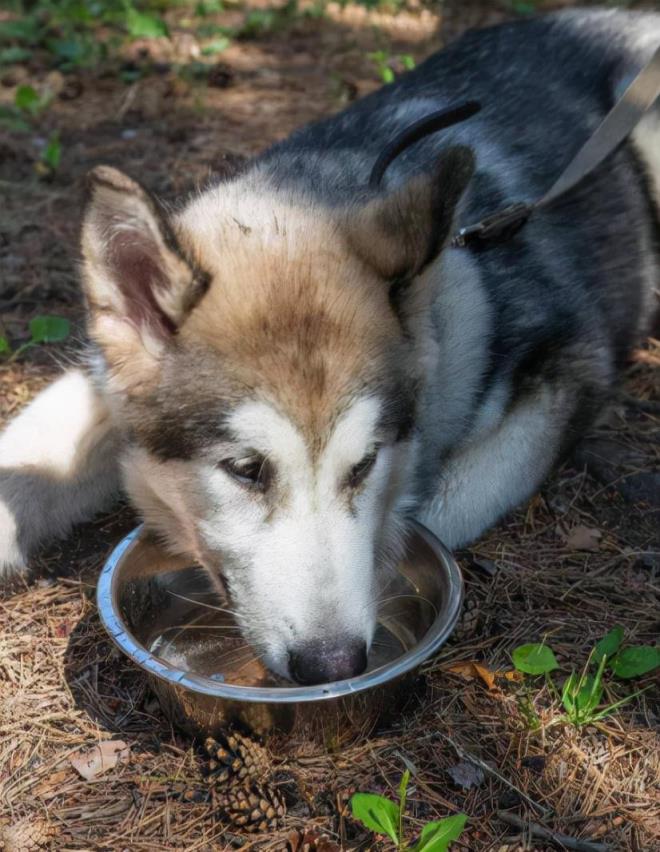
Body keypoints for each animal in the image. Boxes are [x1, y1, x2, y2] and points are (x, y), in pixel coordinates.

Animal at [1, 10, 660, 684]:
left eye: (365, 463)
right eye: (246, 469)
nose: (333, 665)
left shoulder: (571, 363)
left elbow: (433, 511)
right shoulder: (100, 382)